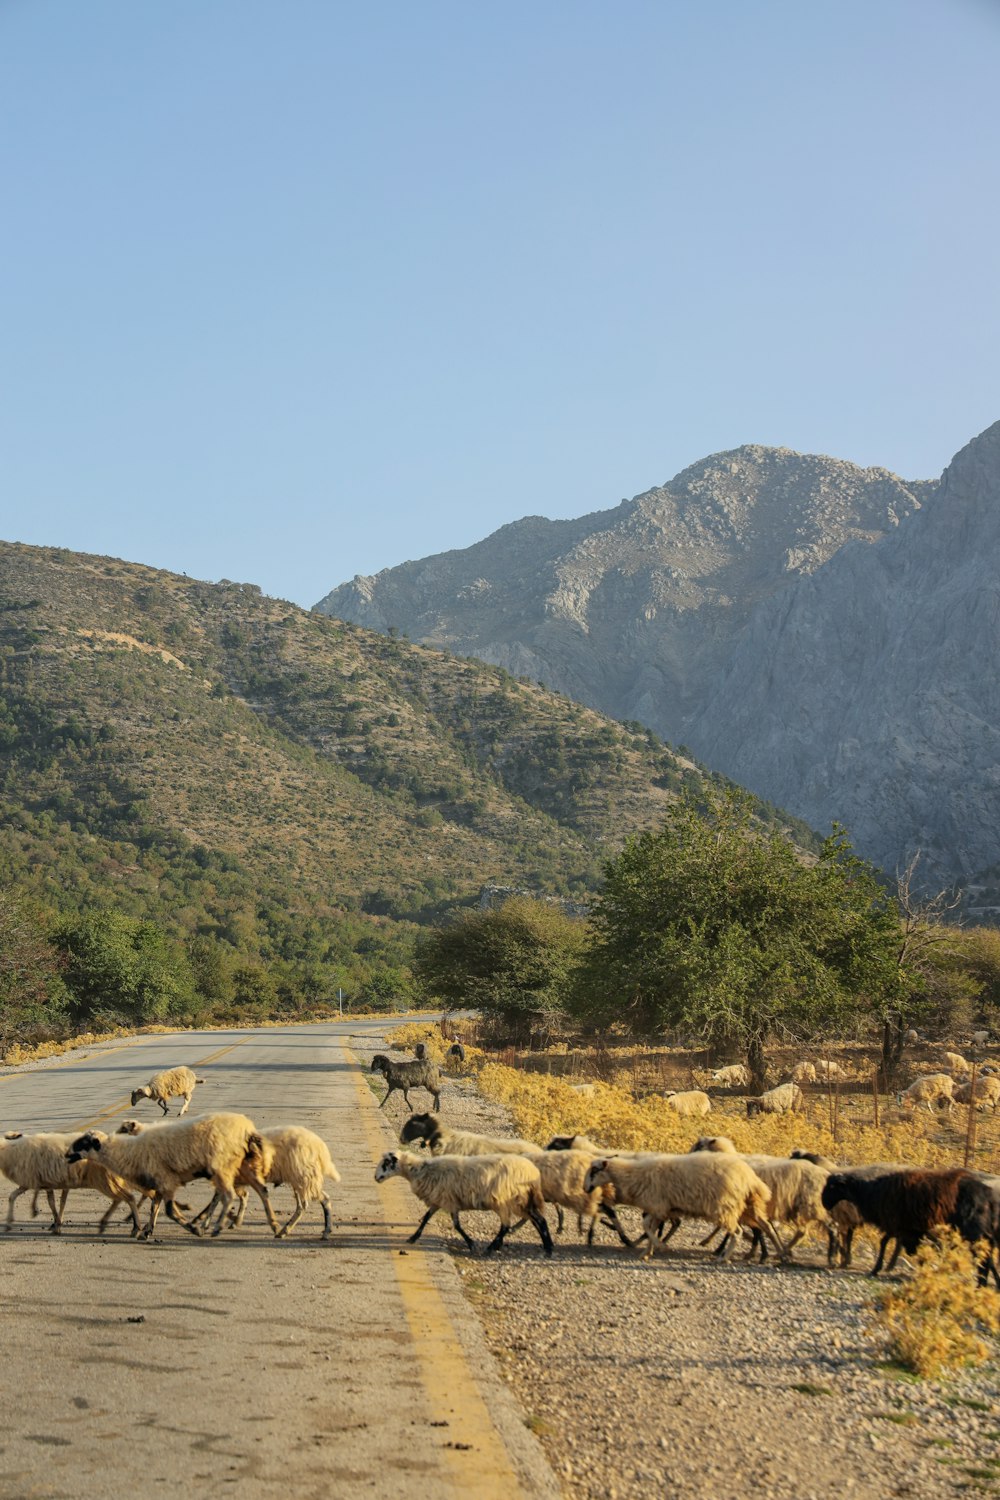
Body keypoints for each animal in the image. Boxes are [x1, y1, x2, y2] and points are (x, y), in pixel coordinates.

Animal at [0, 1128, 141, 1236]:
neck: (10, 1150)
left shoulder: (34, 1180)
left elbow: (51, 1202)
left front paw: (52, 1222)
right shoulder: (42, 1182)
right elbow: (14, 1197)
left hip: (104, 1180)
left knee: (128, 1198)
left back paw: (136, 1228)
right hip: (107, 1181)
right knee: (119, 1199)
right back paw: (104, 1224)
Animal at [65, 1110, 269, 1236]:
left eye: (84, 1143)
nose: (66, 1154)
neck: (131, 1152)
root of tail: (247, 1126)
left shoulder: (166, 1181)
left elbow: (169, 1210)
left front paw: (193, 1229)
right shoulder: (159, 1183)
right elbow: (154, 1205)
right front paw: (147, 1230)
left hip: (222, 1166)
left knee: (228, 1194)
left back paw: (213, 1225)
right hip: (233, 1167)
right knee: (243, 1192)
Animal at [373, 1152, 551, 1260]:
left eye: (387, 1162)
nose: (376, 1177)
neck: (421, 1171)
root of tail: (533, 1172)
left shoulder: (449, 1202)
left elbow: (457, 1225)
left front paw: (471, 1243)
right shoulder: (439, 1200)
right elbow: (425, 1218)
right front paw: (413, 1237)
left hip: (508, 1201)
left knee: (508, 1226)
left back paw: (491, 1248)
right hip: (521, 1201)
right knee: (538, 1220)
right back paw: (547, 1246)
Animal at [581, 1152, 779, 1260]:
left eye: (594, 1170)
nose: (585, 1188)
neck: (633, 1175)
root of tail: (749, 1177)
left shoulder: (657, 1206)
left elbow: (647, 1228)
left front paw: (660, 1246)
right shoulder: (658, 1209)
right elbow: (650, 1229)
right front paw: (647, 1252)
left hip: (725, 1206)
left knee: (737, 1232)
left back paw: (724, 1257)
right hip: (750, 1205)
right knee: (766, 1226)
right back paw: (780, 1253)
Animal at [821, 1164, 971, 1272]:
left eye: (832, 1186)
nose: (824, 1203)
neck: (868, 1192)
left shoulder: (894, 1223)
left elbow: (884, 1242)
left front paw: (877, 1267)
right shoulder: (897, 1224)